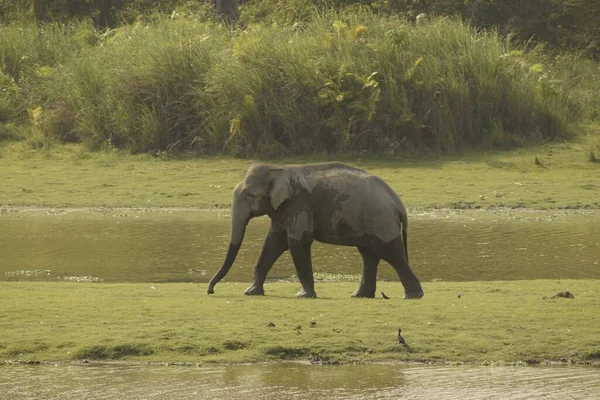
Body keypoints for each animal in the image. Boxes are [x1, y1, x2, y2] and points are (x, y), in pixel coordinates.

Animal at [209, 161, 424, 298]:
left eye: (249, 196)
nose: (210, 291)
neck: (279, 169)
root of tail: (398, 203)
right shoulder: (282, 210)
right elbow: (273, 243)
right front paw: (251, 293)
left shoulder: (299, 204)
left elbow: (297, 243)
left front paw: (303, 295)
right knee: (369, 255)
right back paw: (359, 296)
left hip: (381, 221)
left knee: (392, 254)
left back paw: (413, 296)